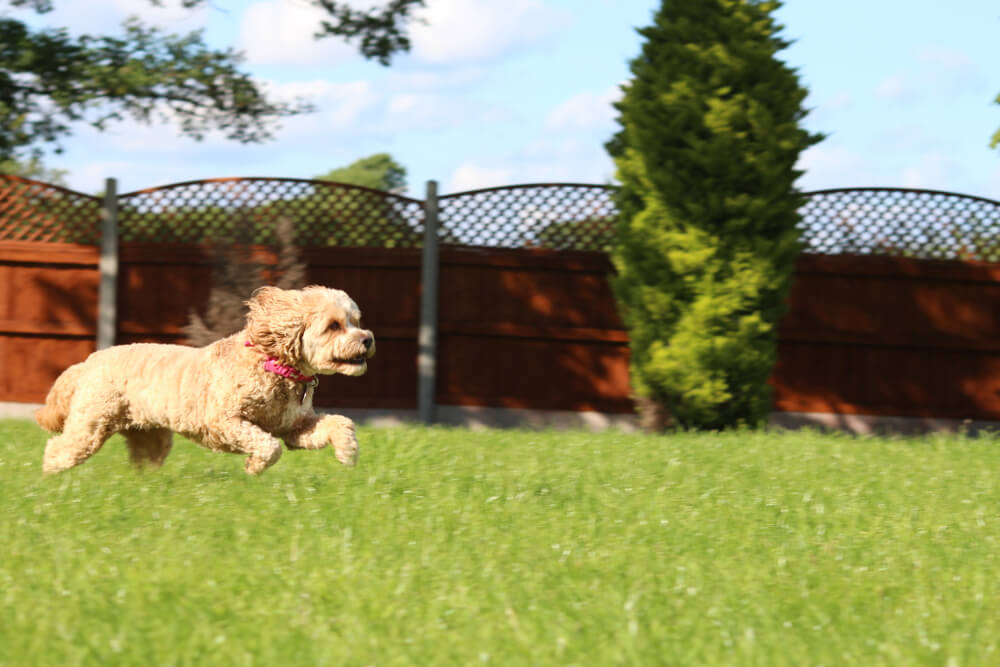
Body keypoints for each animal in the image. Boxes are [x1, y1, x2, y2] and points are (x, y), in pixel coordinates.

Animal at [36, 284, 376, 478]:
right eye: (334, 326)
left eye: (356, 321)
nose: (368, 339)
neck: (272, 364)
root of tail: (88, 362)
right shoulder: (225, 422)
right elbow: (268, 445)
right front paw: (254, 467)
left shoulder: (294, 427)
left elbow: (339, 423)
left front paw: (348, 453)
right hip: (91, 425)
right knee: (58, 450)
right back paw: (50, 481)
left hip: (149, 435)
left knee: (143, 460)